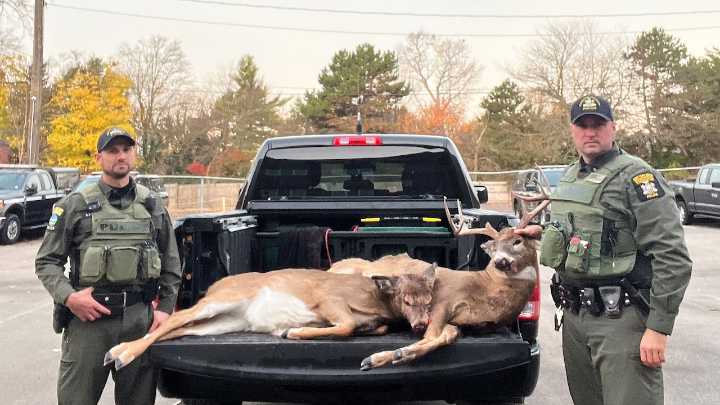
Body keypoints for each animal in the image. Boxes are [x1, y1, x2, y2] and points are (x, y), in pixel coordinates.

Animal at [103, 265, 437, 370]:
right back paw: (121, 354)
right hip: (223, 300)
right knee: (177, 318)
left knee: (183, 328)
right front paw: (293, 332)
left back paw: (118, 351)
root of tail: (215, 285)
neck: (376, 300)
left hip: (229, 321)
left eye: (429, 300)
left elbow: (367, 328)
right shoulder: (328, 298)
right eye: (407, 299)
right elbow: (346, 325)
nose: (421, 324)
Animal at [340, 187, 550, 371]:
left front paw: (399, 354)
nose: (500, 261)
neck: (487, 292)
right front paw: (378, 357)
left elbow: (447, 336)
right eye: (494, 246)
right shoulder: (444, 301)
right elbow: (431, 336)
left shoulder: (459, 323)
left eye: (517, 241)